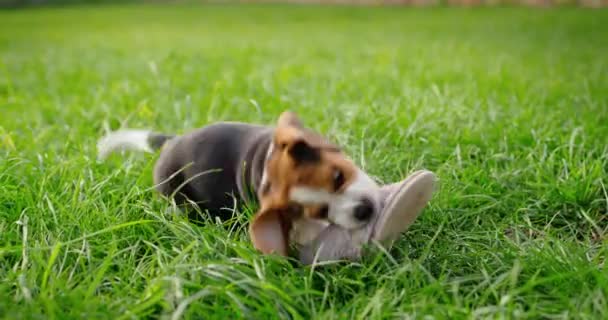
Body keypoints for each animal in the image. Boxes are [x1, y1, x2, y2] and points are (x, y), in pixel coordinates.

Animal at [97, 111, 382, 256]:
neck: (268, 159)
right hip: (178, 197)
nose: (364, 210)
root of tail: (171, 142)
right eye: (320, 212)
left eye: (338, 176)